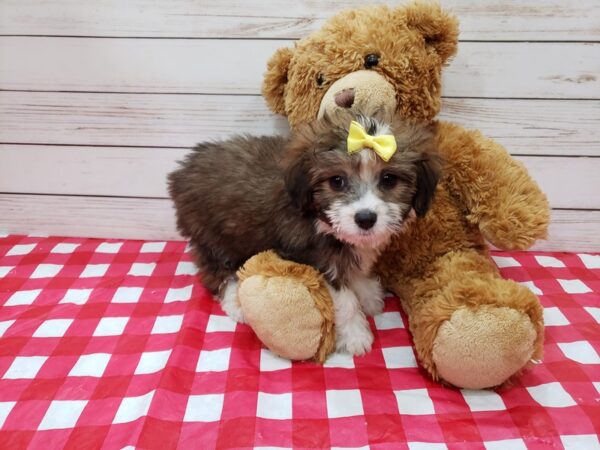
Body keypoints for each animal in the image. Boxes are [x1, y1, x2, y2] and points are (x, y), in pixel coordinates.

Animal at [166, 114, 438, 356]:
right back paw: (235, 302)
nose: (365, 218)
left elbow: (354, 269)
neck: (318, 217)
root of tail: (181, 172)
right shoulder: (314, 256)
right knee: (215, 273)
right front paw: (355, 335)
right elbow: (344, 298)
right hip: (211, 236)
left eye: (389, 179)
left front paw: (367, 292)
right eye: (336, 181)